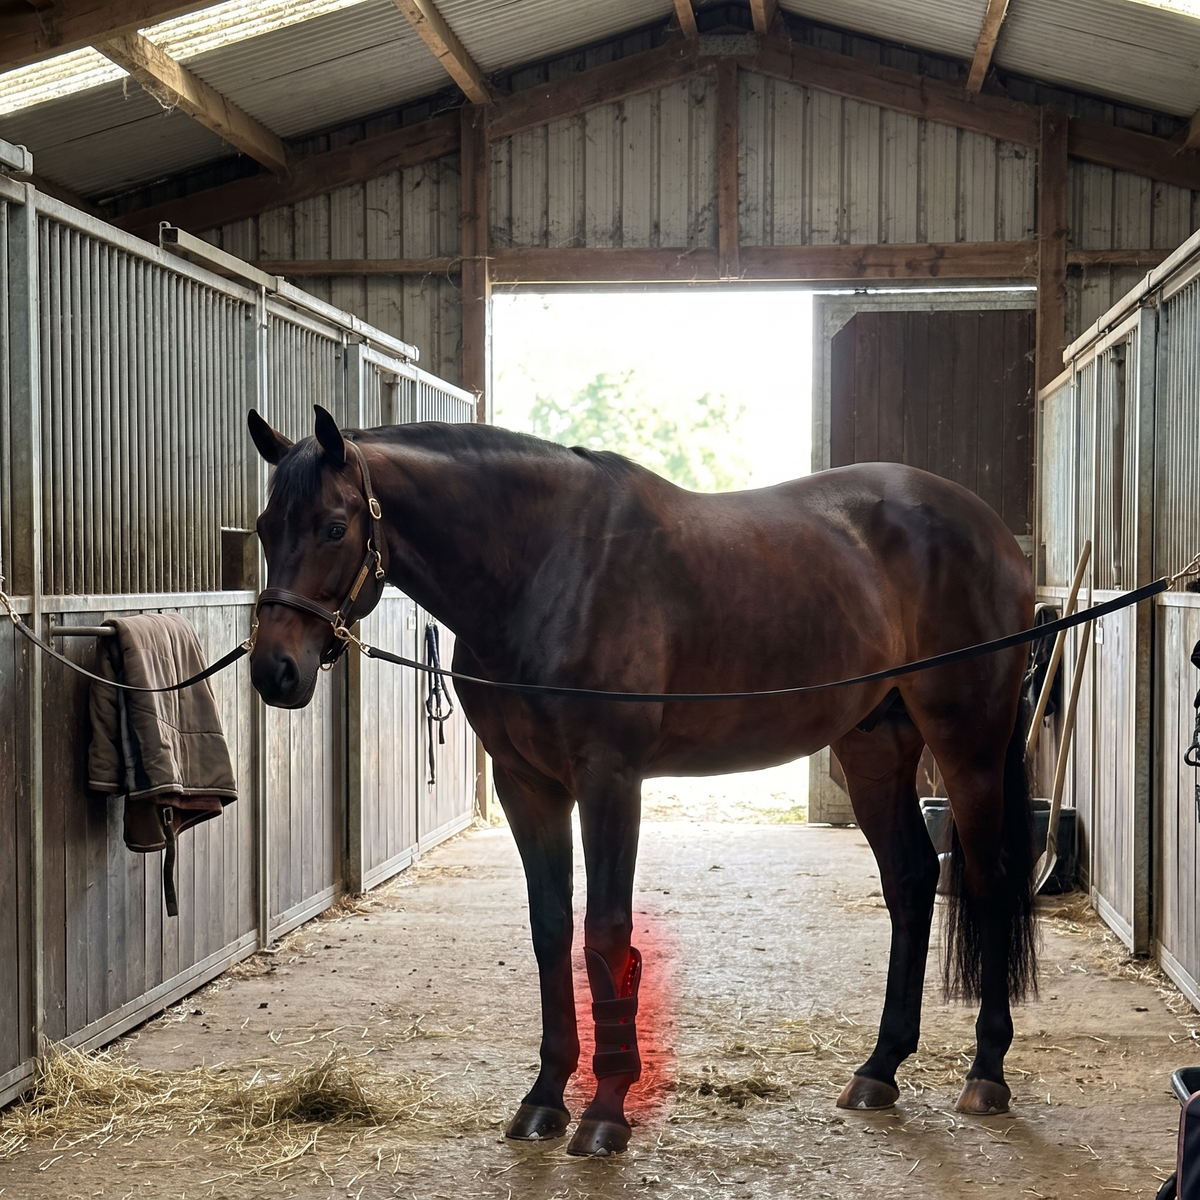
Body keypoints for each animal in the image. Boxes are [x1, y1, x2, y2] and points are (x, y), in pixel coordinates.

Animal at [246, 404, 1037, 1157]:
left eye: (334, 527)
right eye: (263, 527)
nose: (273, 671)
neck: (545, 568)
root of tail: (991, 529)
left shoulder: (610, 778)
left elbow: (606, 933)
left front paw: (604, 1113)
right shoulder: (526, 785)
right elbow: (551, 928)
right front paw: (544, 1097)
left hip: (968, 743)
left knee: (990, 880)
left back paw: (986, 1074)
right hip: (875, 744)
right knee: (909, 880)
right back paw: (880, 1069)